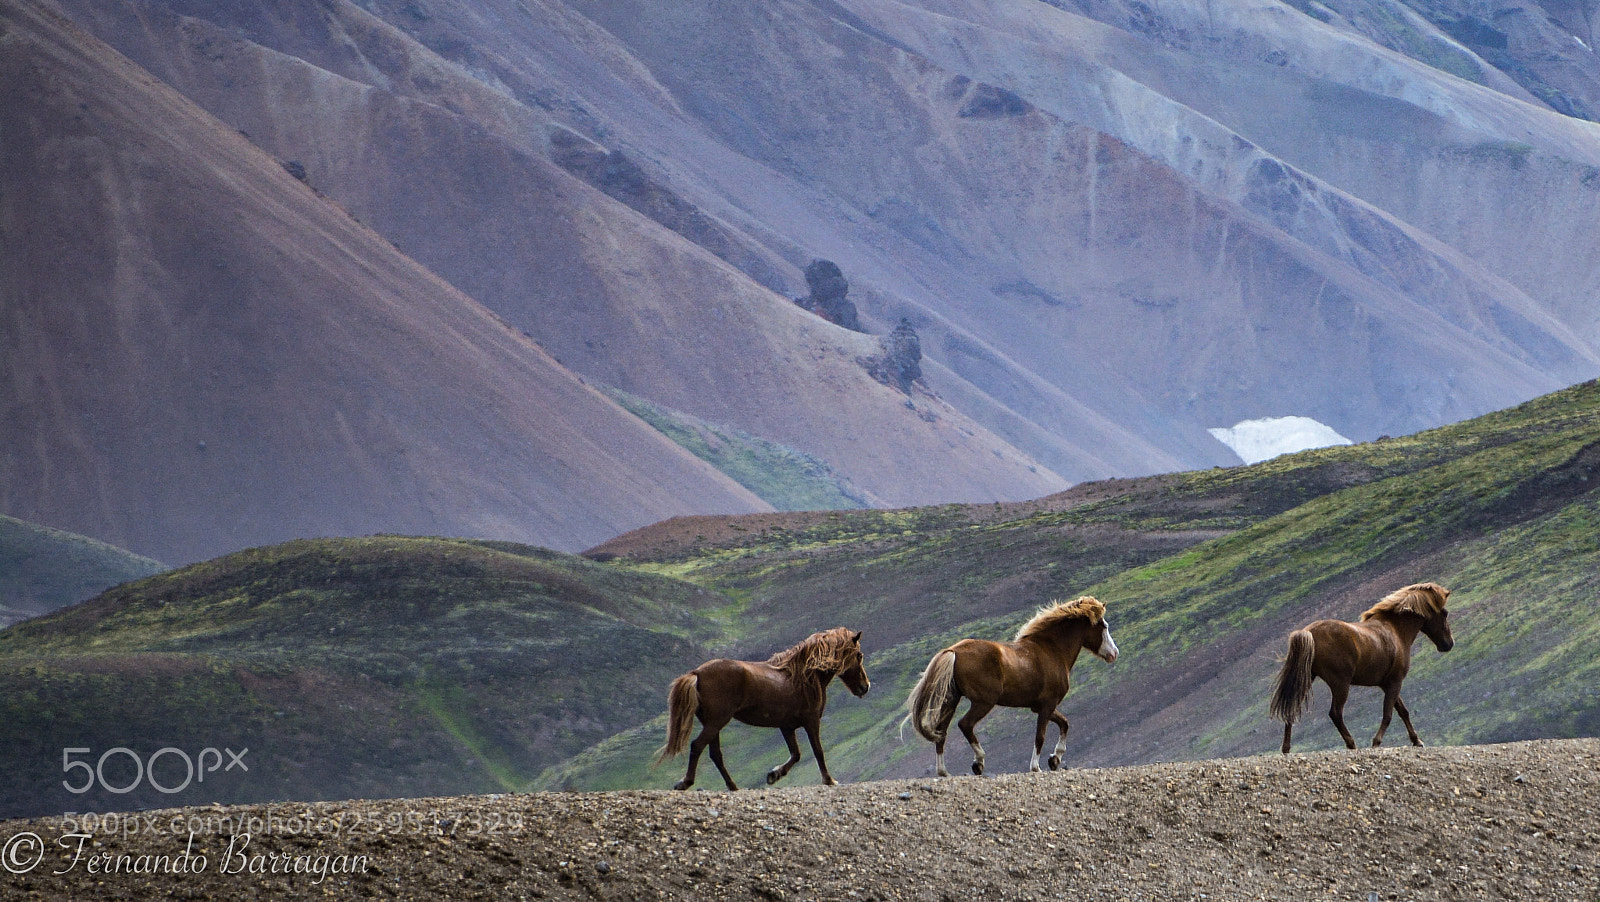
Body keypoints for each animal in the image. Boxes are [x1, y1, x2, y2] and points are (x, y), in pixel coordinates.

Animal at [657, 627, 869, 790]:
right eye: (859, 655)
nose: (865, 687)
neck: (803, 676)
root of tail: (697, 674)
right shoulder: (811, 721)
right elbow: (817, 751)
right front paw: (829, 780)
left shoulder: (787, 727)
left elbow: (796, 754)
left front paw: (774, 774)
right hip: (716, 722)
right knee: (698, 746)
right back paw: (685, 783)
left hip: (712, 724)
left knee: (715, 754)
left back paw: (733, 786)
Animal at [903, 596, 1118, 777]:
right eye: (1104, 626)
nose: (1114, 654)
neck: (1052, 651)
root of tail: (953, 651)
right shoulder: (1047, 706)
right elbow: (1040, 736)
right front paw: (1036, 766)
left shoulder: (1041, 707)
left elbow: (1064, 724)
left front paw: (1055, 760)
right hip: (983, 702)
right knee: (965, 724)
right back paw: (978, 762)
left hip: (951, 701)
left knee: (941, 732)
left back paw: (943, 772)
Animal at [1270, 582, 1454, 754]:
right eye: (1444, 613)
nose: (1448, 644)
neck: (1395, 630)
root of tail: (1308, 632)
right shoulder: (1395, 682)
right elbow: (1388, 714)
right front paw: (1376, 743)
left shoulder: (1386, 683)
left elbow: (1403, 711)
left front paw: (1417, 741)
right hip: (1340, 684)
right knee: (1335, 713)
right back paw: (1351, 744)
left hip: (1306, 678)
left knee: (1291, 707)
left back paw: (1286, 748)